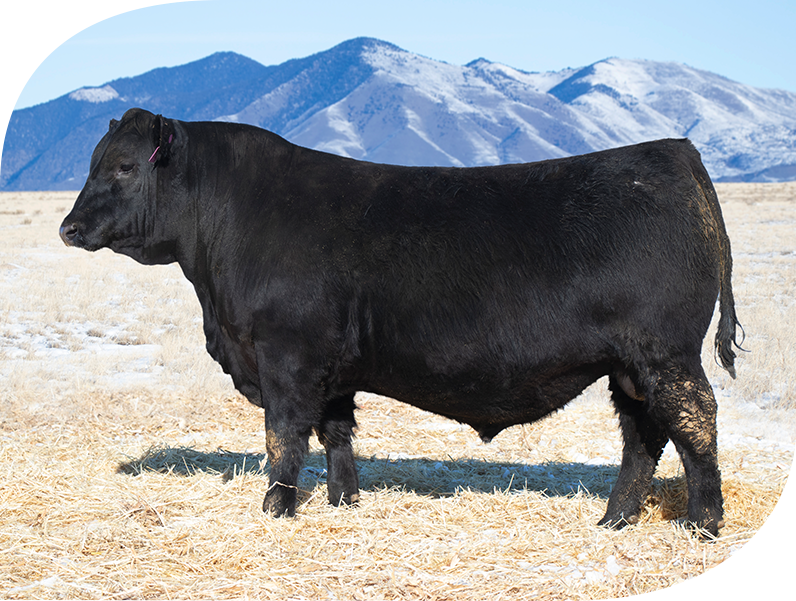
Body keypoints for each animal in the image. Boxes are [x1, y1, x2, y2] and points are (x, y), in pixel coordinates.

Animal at [60, 108, 742, 537]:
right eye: (96, 162)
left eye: (123, 167)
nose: (68, 227)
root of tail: (675, 152)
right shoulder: (330, 369)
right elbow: (336, 434)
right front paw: (344, 502)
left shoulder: (286, 358)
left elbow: (284, 438)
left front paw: (275, 510)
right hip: (629, 367)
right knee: (643, 438)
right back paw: (614, 520)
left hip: (666, 355)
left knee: (695, 424)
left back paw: (700, 525)